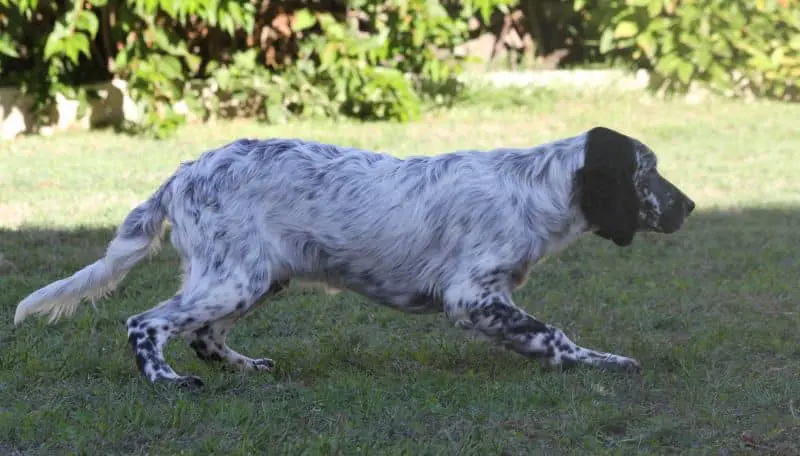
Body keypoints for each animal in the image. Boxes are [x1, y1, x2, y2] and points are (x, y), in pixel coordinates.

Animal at [14, 126, 695, 388]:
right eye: (649, 171)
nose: (689, 206)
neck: (537, 185)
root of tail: (181, 174)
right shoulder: (472, 296)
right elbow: (554, 335)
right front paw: (604, 362)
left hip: (256, 276)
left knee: (204, 335)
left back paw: (247, 367)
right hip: (234, 279)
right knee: (145, 323)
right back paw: (168, 381)